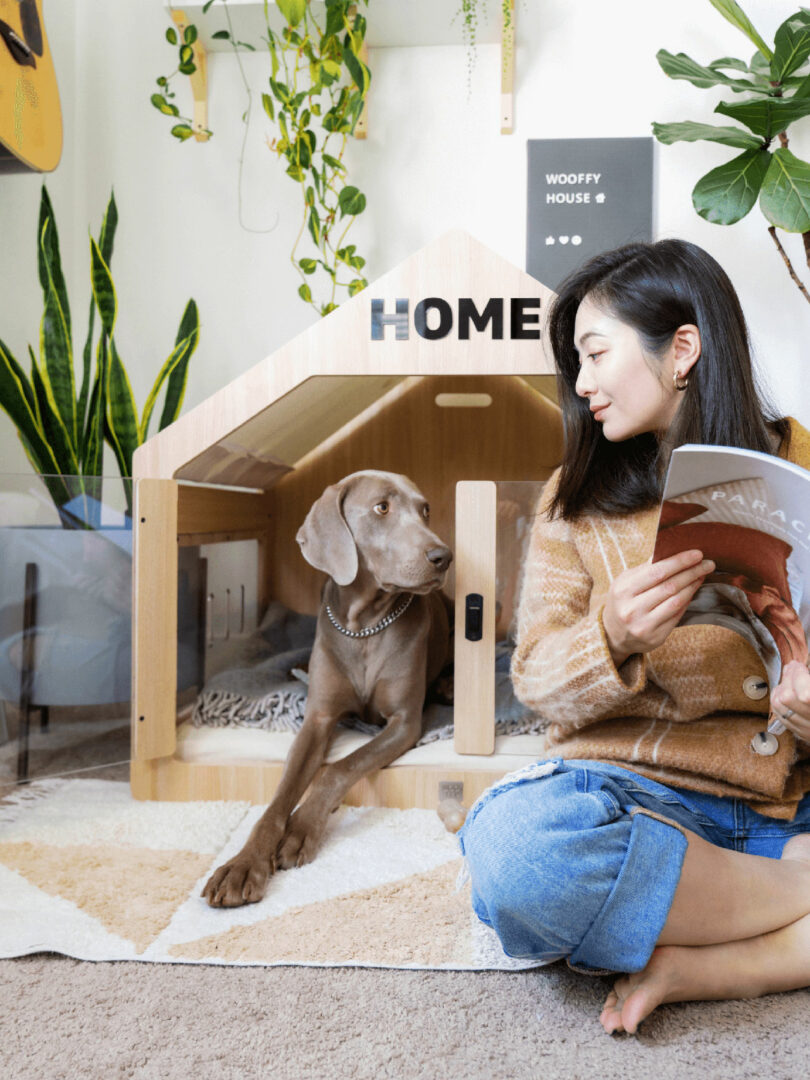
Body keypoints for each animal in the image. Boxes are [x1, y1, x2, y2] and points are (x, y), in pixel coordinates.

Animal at [203, 468, 453, 907]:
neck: (365, 624)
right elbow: (277, 798)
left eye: (425, 510)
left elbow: (339, 768)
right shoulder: (317, 718)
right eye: (381, 508)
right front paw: (243, 863)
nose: (443, 556)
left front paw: (300, 829)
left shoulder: (404, 722)